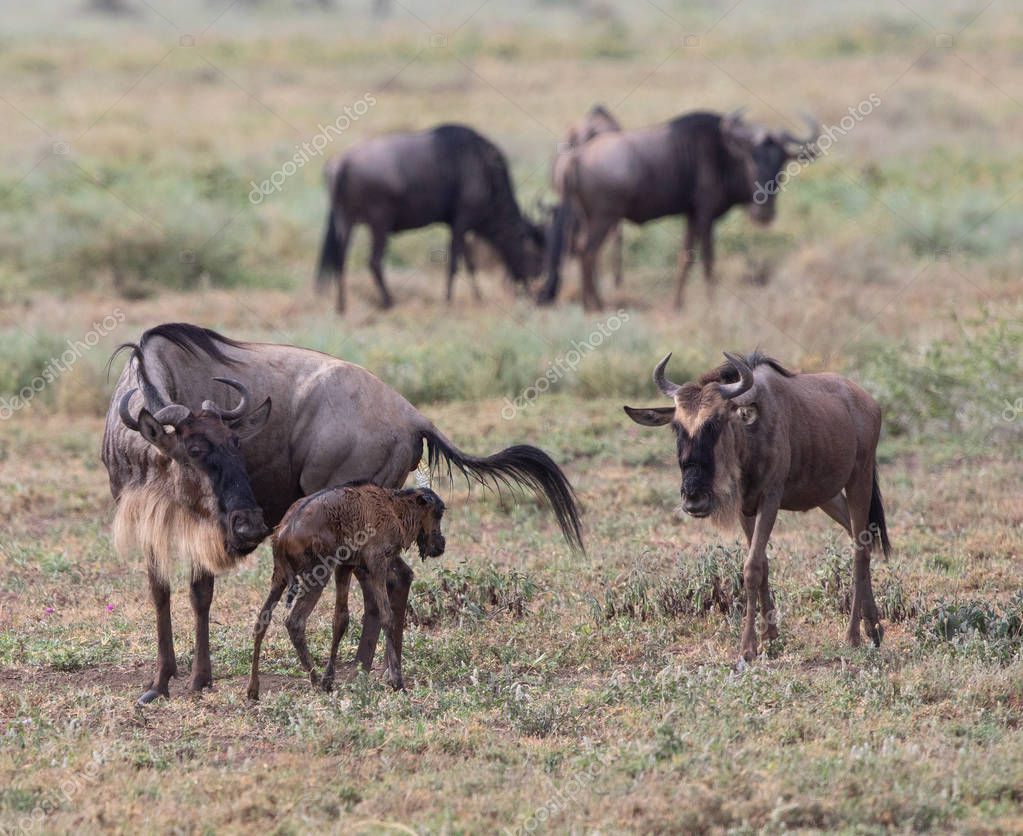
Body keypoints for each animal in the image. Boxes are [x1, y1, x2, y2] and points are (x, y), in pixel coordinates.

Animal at [246, 482, 443, 699]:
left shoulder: (345, 566)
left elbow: (340, 620)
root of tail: (284, 532)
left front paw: (329, 680)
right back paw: (314, 680)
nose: (441, 545)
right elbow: (387, 617)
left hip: (279, 579)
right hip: (317, 577)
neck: (394, 507)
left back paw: (253, 688)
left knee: (262, 620)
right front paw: (397, 682)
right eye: (438, 513)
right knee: (294, 622)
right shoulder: (377, 564)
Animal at [621, 349, 887, 663]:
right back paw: (874, 628)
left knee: (860, 549)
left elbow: (751, 568)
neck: (749, 438)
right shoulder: (745, 508)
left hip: (860, 478)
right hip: (829, 497)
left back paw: (853, 635)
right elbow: (762, 562)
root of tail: (869, 402)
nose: (694, 499)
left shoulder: (770, 499)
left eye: (715, 422)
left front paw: (747, 648)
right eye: (677, 427)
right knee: (862, 540)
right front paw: (769, 637)